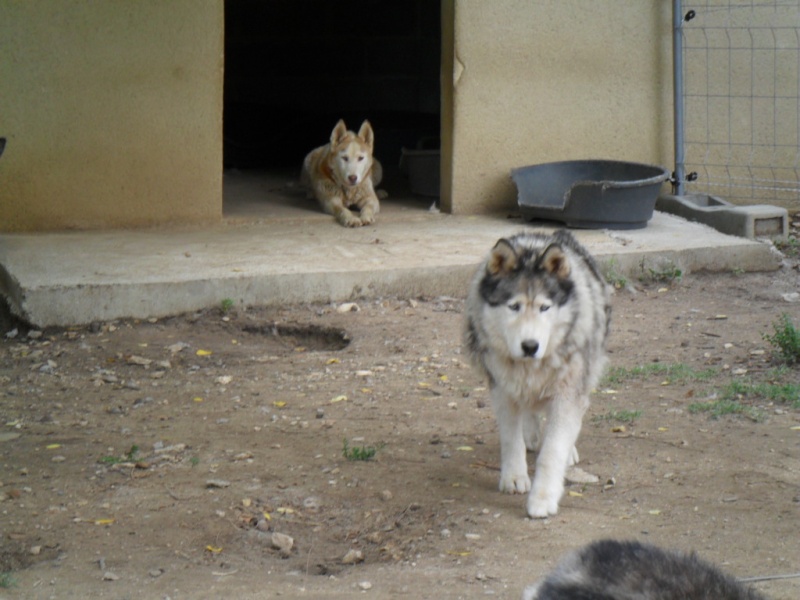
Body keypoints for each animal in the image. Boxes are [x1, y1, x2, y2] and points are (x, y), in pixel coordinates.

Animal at [462, 230, 612, 516]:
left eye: (545, 308)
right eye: (513, 307)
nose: (530, 346)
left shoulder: (567, 395)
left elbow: (552, 451)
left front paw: (542, 499)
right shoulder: (503, 391)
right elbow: (511, 440)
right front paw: (513, 477)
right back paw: (531, 434)